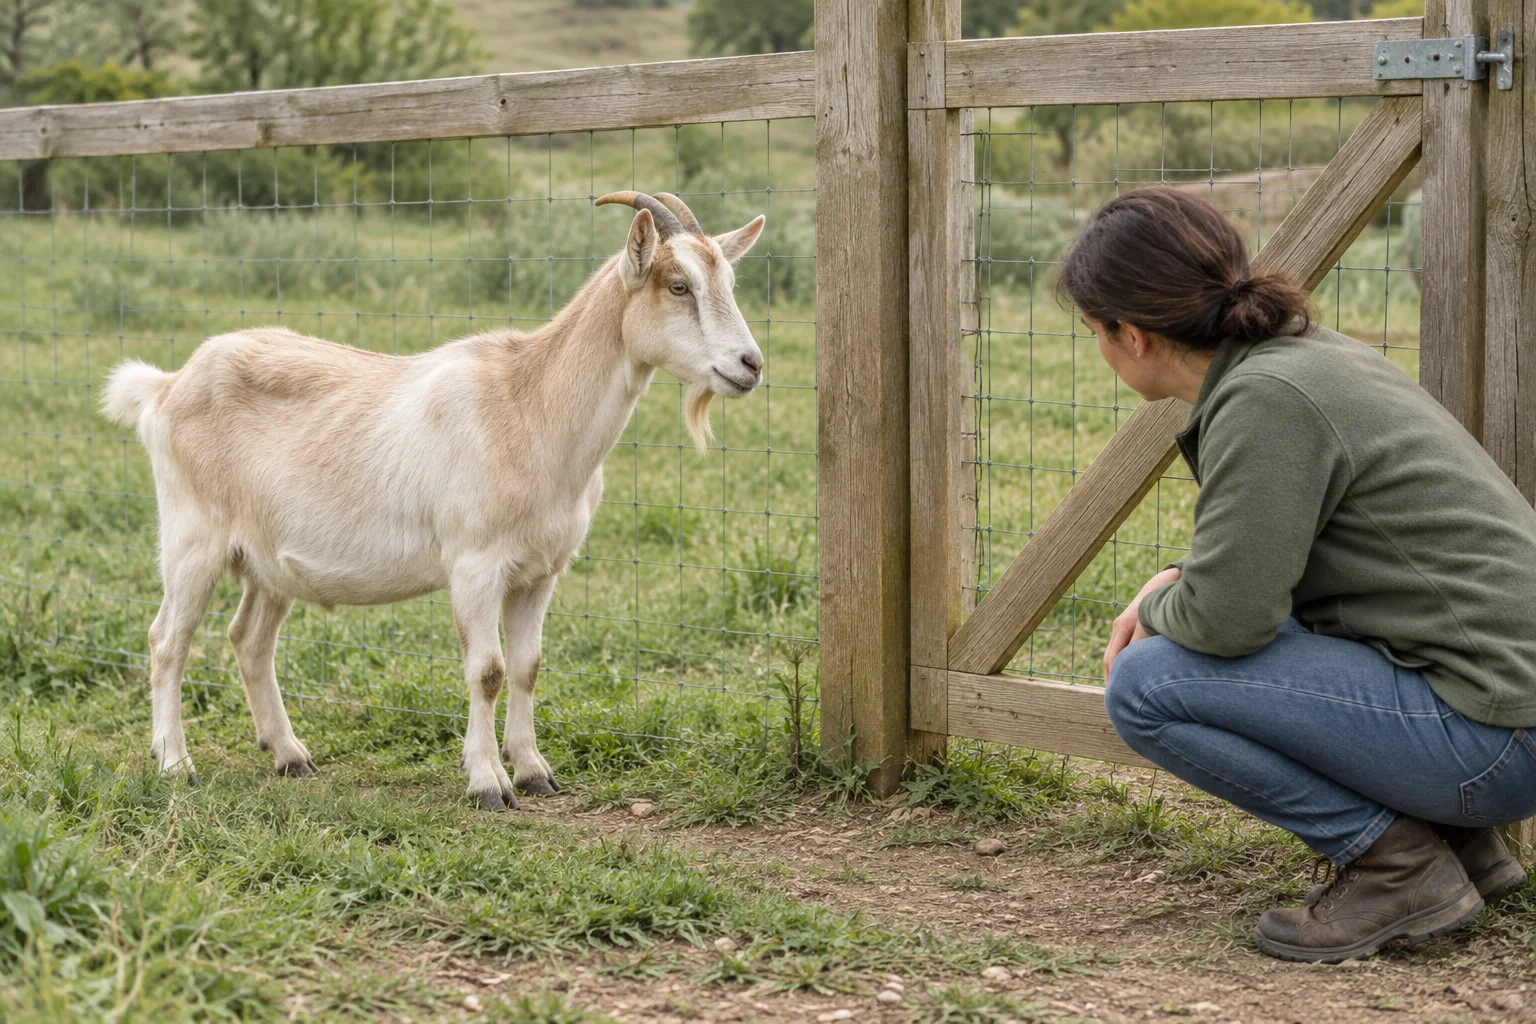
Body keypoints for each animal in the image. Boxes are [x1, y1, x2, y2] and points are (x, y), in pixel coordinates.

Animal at [101, 192, 765, 810]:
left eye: (729, 283)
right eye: (678, 285)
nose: (751, 364)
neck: (529, 406)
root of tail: (167, 387)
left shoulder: (541, 571)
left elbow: (527, 666)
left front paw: (534, 771)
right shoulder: (475, 564)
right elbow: (488, 671)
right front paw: (488, 782)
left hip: (268, 562)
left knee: (249, 640)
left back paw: (290, 755)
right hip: (192, 537)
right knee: (168, 641)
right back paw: (175, 764)